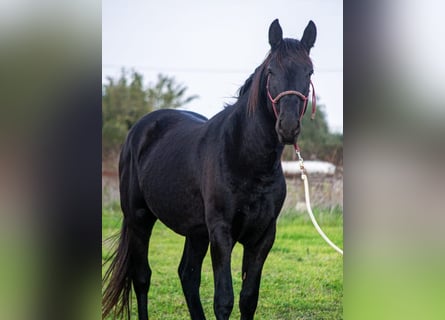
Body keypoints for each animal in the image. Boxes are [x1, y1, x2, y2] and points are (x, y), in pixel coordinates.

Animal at [103, 20, 316, 320]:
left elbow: (248, 299)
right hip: (139, 219)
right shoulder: (221, 233)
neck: (247, 161)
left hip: (195, 232)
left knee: (187, 276)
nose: (287, 127)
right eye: (271, 71)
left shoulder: (262, 237)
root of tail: (139, 129)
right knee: (142, 277)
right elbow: (224, 300)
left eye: (309, 72)